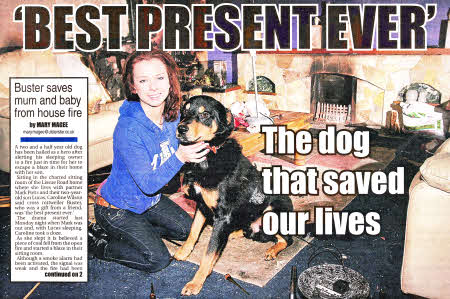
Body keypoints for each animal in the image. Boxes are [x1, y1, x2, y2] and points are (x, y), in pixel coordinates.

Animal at [174, 96, 294, 298]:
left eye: (205, 114)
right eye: (184, 111)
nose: (181, 128)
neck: (208, 156)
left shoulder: (222, 215)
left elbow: (208, 254)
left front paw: (196, 283)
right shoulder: (202, 206)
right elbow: (193, 232)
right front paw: (183, 252)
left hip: (272, 213)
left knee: (287, 239)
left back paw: (272, 250)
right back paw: (235, 232)